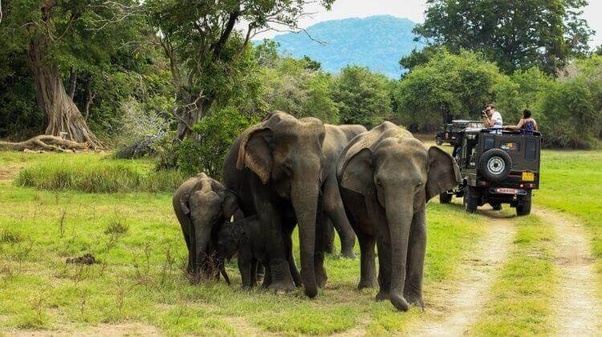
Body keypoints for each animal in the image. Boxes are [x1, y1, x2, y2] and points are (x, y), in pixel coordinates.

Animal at [223, 111, 328, 296]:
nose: (311, 291)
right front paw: (281, 290)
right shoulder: (257, 173)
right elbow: (268, 215)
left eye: (322, 166)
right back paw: (260, 282)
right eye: (287, 167)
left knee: (286, 229)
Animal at [336, 121, 458, 310]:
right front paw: (384, 299)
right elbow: (384, 234)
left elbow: (419, 234)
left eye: (419, 185)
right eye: (380, 183)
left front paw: (415, 304)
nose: (404, 305)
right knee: (366, 237)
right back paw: (368, 288)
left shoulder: (422, 197)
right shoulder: (370, 191)